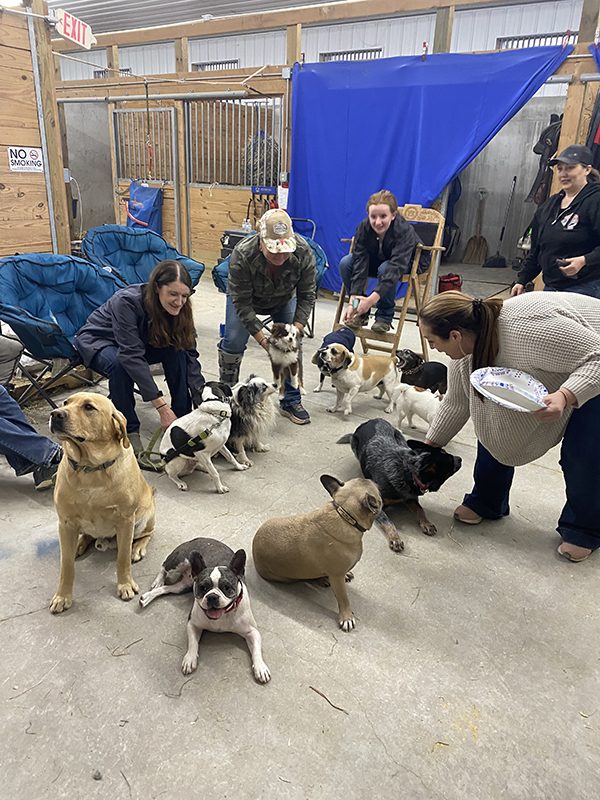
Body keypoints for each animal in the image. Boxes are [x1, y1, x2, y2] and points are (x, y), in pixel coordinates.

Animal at [49, 390, 155, 608]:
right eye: (65, 403)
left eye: (89, 407)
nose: (55, 414)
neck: (90, 468)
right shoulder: (65, 522)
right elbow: (66, 566)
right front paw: (63, 596)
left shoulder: (126, 521)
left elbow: (122, 558)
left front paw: (125, 584)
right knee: (86, 536)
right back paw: (79, 545)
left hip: (144, 519)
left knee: (147, 534)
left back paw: (137, 548)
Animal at [251, 476, 382, 632]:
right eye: (379, 492)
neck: (344, 513)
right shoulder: (337, 578)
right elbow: (343, 598)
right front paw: (346, 617)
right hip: (289, 578)